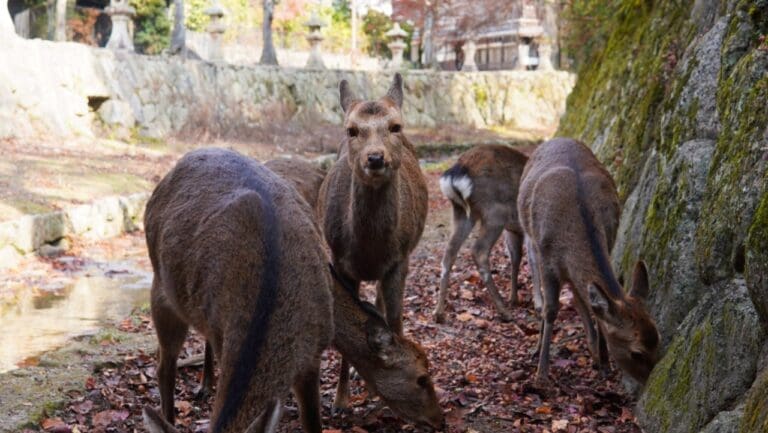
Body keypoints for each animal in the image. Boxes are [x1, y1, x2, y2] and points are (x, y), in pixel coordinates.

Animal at [316, 73, 428, 408]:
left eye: (396, 126)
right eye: (351, 129)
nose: (376, 157)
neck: (369, 250)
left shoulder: (400, 260)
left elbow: (396, 320)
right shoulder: (340, 262)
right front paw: (341, 400)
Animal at [432, 143, 528, 322]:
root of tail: (457, 171)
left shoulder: (514, 230)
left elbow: (516, 258)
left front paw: (514, 299)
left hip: (462, 211)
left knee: (449, 252)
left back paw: (438, 313)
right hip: (495, 213)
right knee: (479, 251)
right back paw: (504, 311)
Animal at [520, 137, 664, 384]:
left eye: (658, 339)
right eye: (636, 352)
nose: (648, 384)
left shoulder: (610, 239)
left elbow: (593, 304)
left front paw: (604, 362)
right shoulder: (547, 258)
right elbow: (551, 309)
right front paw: (541, 373)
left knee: (579, 294)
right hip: (531, 238)